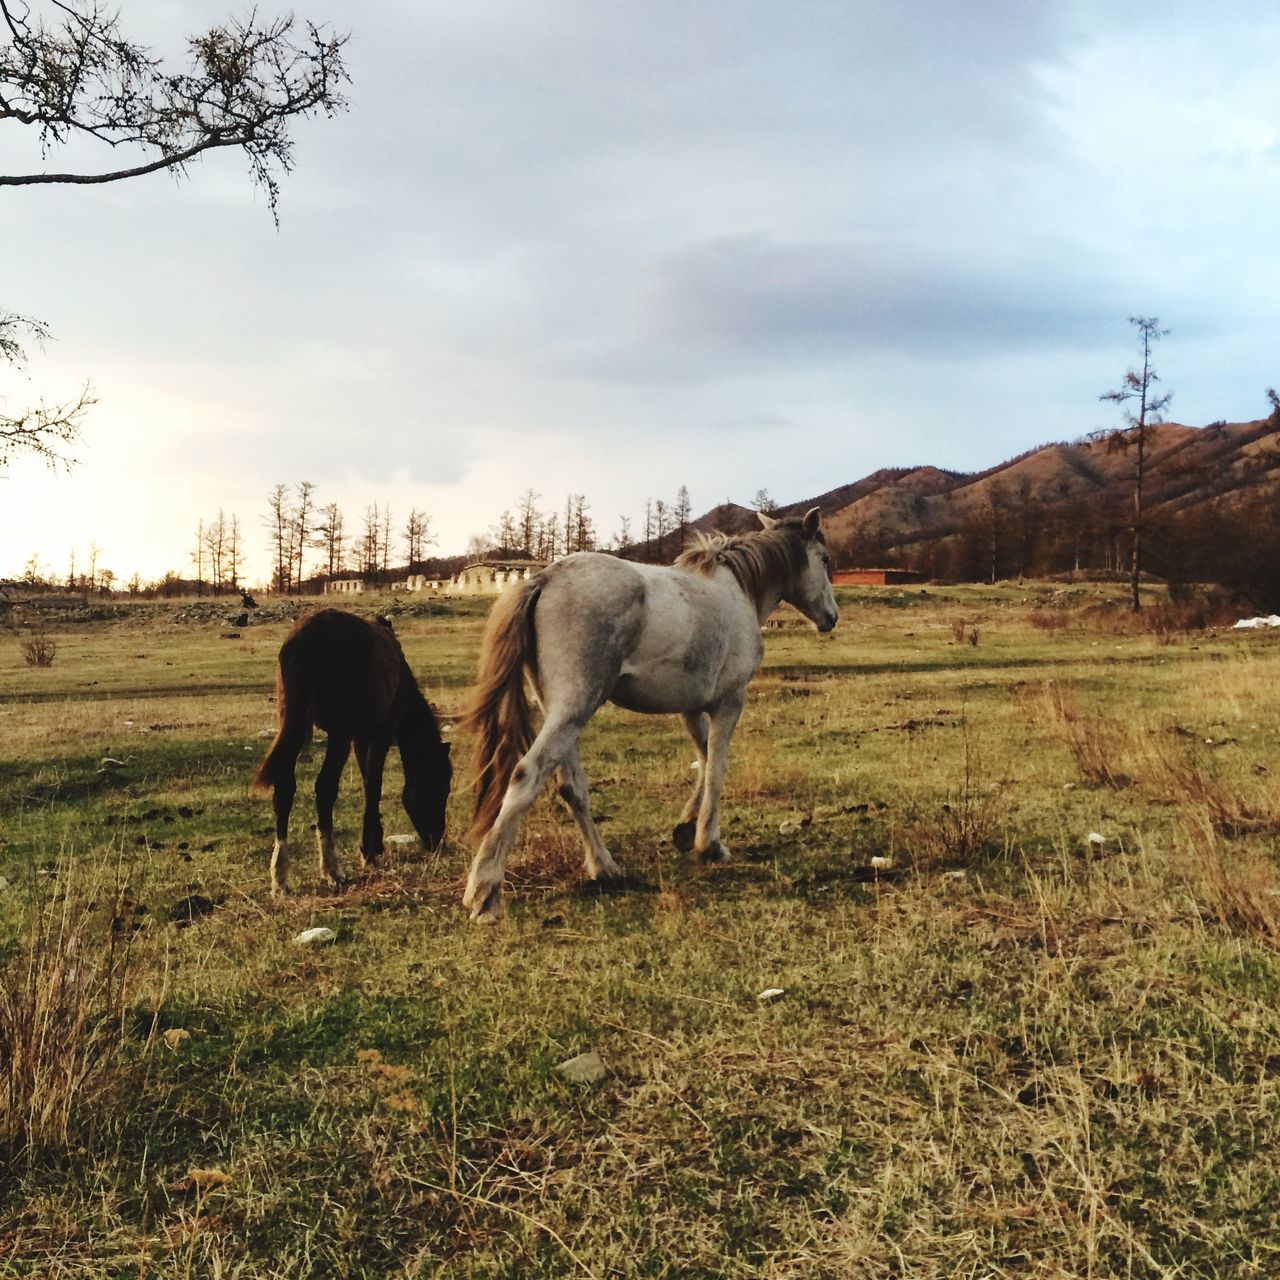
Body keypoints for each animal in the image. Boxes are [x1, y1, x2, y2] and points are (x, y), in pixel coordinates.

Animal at [248, 606, 450, 890]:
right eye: (442, 787)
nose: (437, 840)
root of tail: (308, 636)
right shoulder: (380, 733)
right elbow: (374, 784)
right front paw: (370, 849)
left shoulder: (360, 737)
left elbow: (367, 782)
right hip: (338, 733)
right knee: (325, 787)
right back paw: (332, 869)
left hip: (294, 724)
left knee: (284, 790)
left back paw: (280, 876)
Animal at [460, 506, 839, 921]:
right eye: (824, 559)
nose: (832, 617)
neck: (737, 590)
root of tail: (544, 578)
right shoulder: (729, 702)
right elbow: (717, 769)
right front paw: (710, 844)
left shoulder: (691, 708)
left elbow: (704, 761)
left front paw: (686, 829)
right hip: (573, 708)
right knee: (527, 774)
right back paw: (485, 893)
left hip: (563, 713)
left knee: (571, 786)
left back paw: (604, 867)